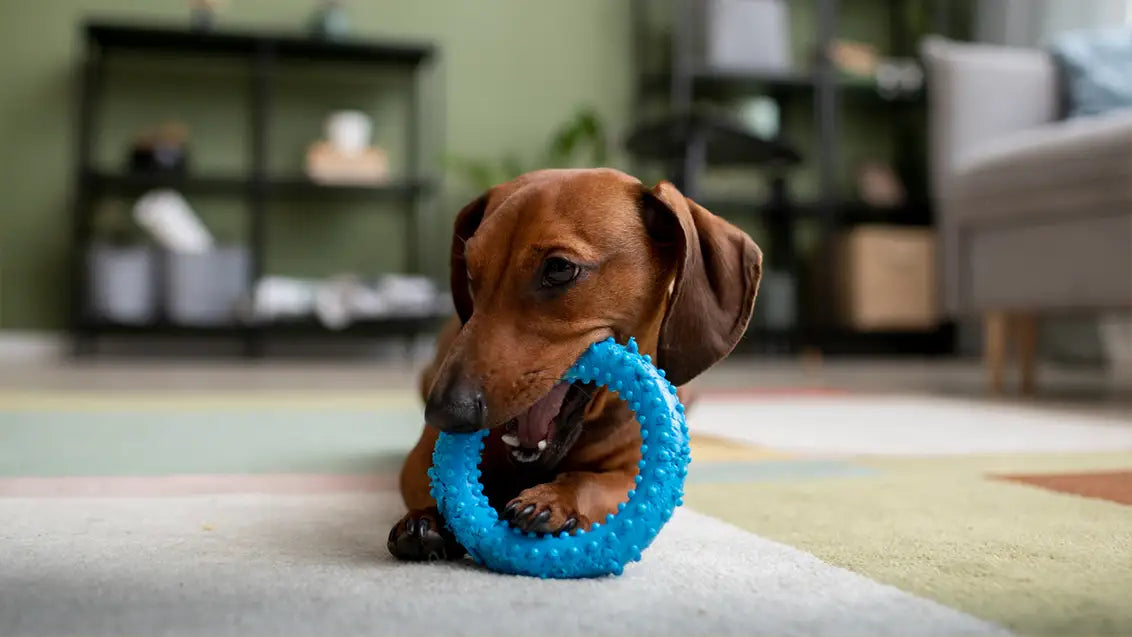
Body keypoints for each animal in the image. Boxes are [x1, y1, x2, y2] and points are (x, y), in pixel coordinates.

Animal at [387, 167, 760, 561]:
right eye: (470, 271)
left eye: (559, 269)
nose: (445, 413)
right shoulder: (418, 461)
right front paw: (429, 517)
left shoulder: (631, 467)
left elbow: (593, 481)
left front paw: (555, 498)